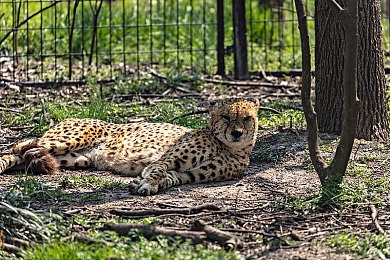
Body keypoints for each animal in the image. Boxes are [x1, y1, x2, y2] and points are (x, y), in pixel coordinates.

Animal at [0, 98, 258, 195]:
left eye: (247, 118)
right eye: (225, 117)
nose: (236, 133)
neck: (230, 148)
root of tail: (70, 117)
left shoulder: (191, 174)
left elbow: (170, 178)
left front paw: (145, 184)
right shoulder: (165, 159)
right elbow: (157, 169)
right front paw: (147, 183)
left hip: (75, 158)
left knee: (22, 158)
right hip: (66, 140)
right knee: (13, 149)